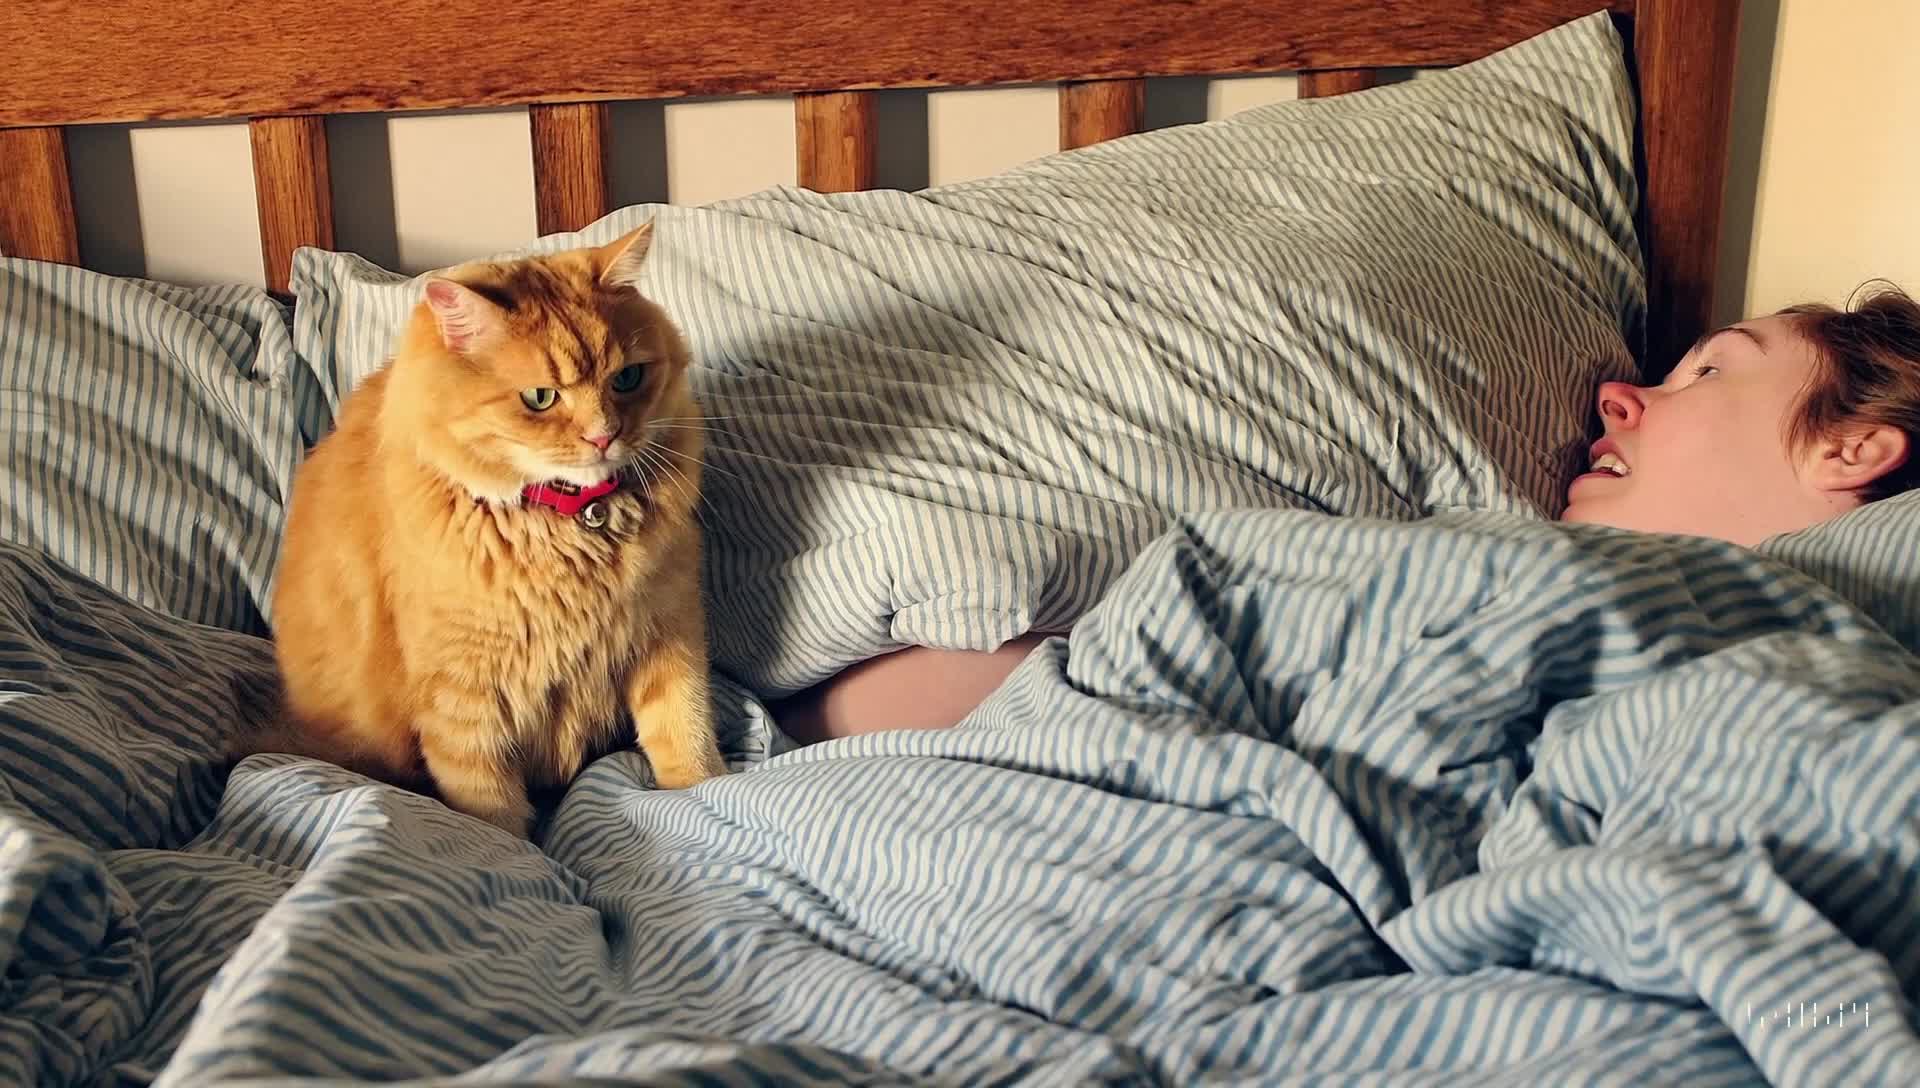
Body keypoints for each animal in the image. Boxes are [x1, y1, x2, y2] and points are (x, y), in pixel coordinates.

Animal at [253, 221, 725, 832]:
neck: (573, 526)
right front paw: (522, 850)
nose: (604, 436)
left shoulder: (668, 632)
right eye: (540, 398)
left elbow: (685, 734)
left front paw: (703, 790)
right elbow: (493, 813)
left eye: (627, 378)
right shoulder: (465, 699)